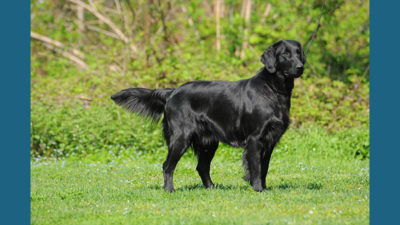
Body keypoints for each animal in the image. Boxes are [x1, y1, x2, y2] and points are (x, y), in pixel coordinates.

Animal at [111, 40, 304, 192]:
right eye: (285, 54)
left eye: (299, 53)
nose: (300, 67)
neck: (273, 90)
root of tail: (172, 92)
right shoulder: (255, 139)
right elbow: (255, 168)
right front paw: (257, 189)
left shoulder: (270, 140)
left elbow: (264, 168)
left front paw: (263, 188)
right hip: (181, 137)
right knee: (167, 166)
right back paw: (169, 190)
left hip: (208, 142)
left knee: (201, 167)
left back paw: (212, 188)